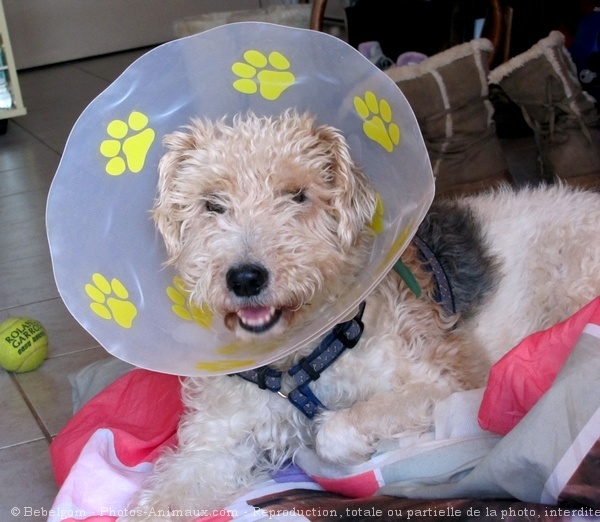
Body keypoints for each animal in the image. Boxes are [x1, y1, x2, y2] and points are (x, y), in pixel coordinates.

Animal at [120, 108, 600, 516]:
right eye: (212, 204)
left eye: (298, 196)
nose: (244, 279)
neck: (297, 363)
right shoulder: (216, 445)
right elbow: (166, 496)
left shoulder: (445, 383)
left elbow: (334, 431)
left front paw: (364, 449)